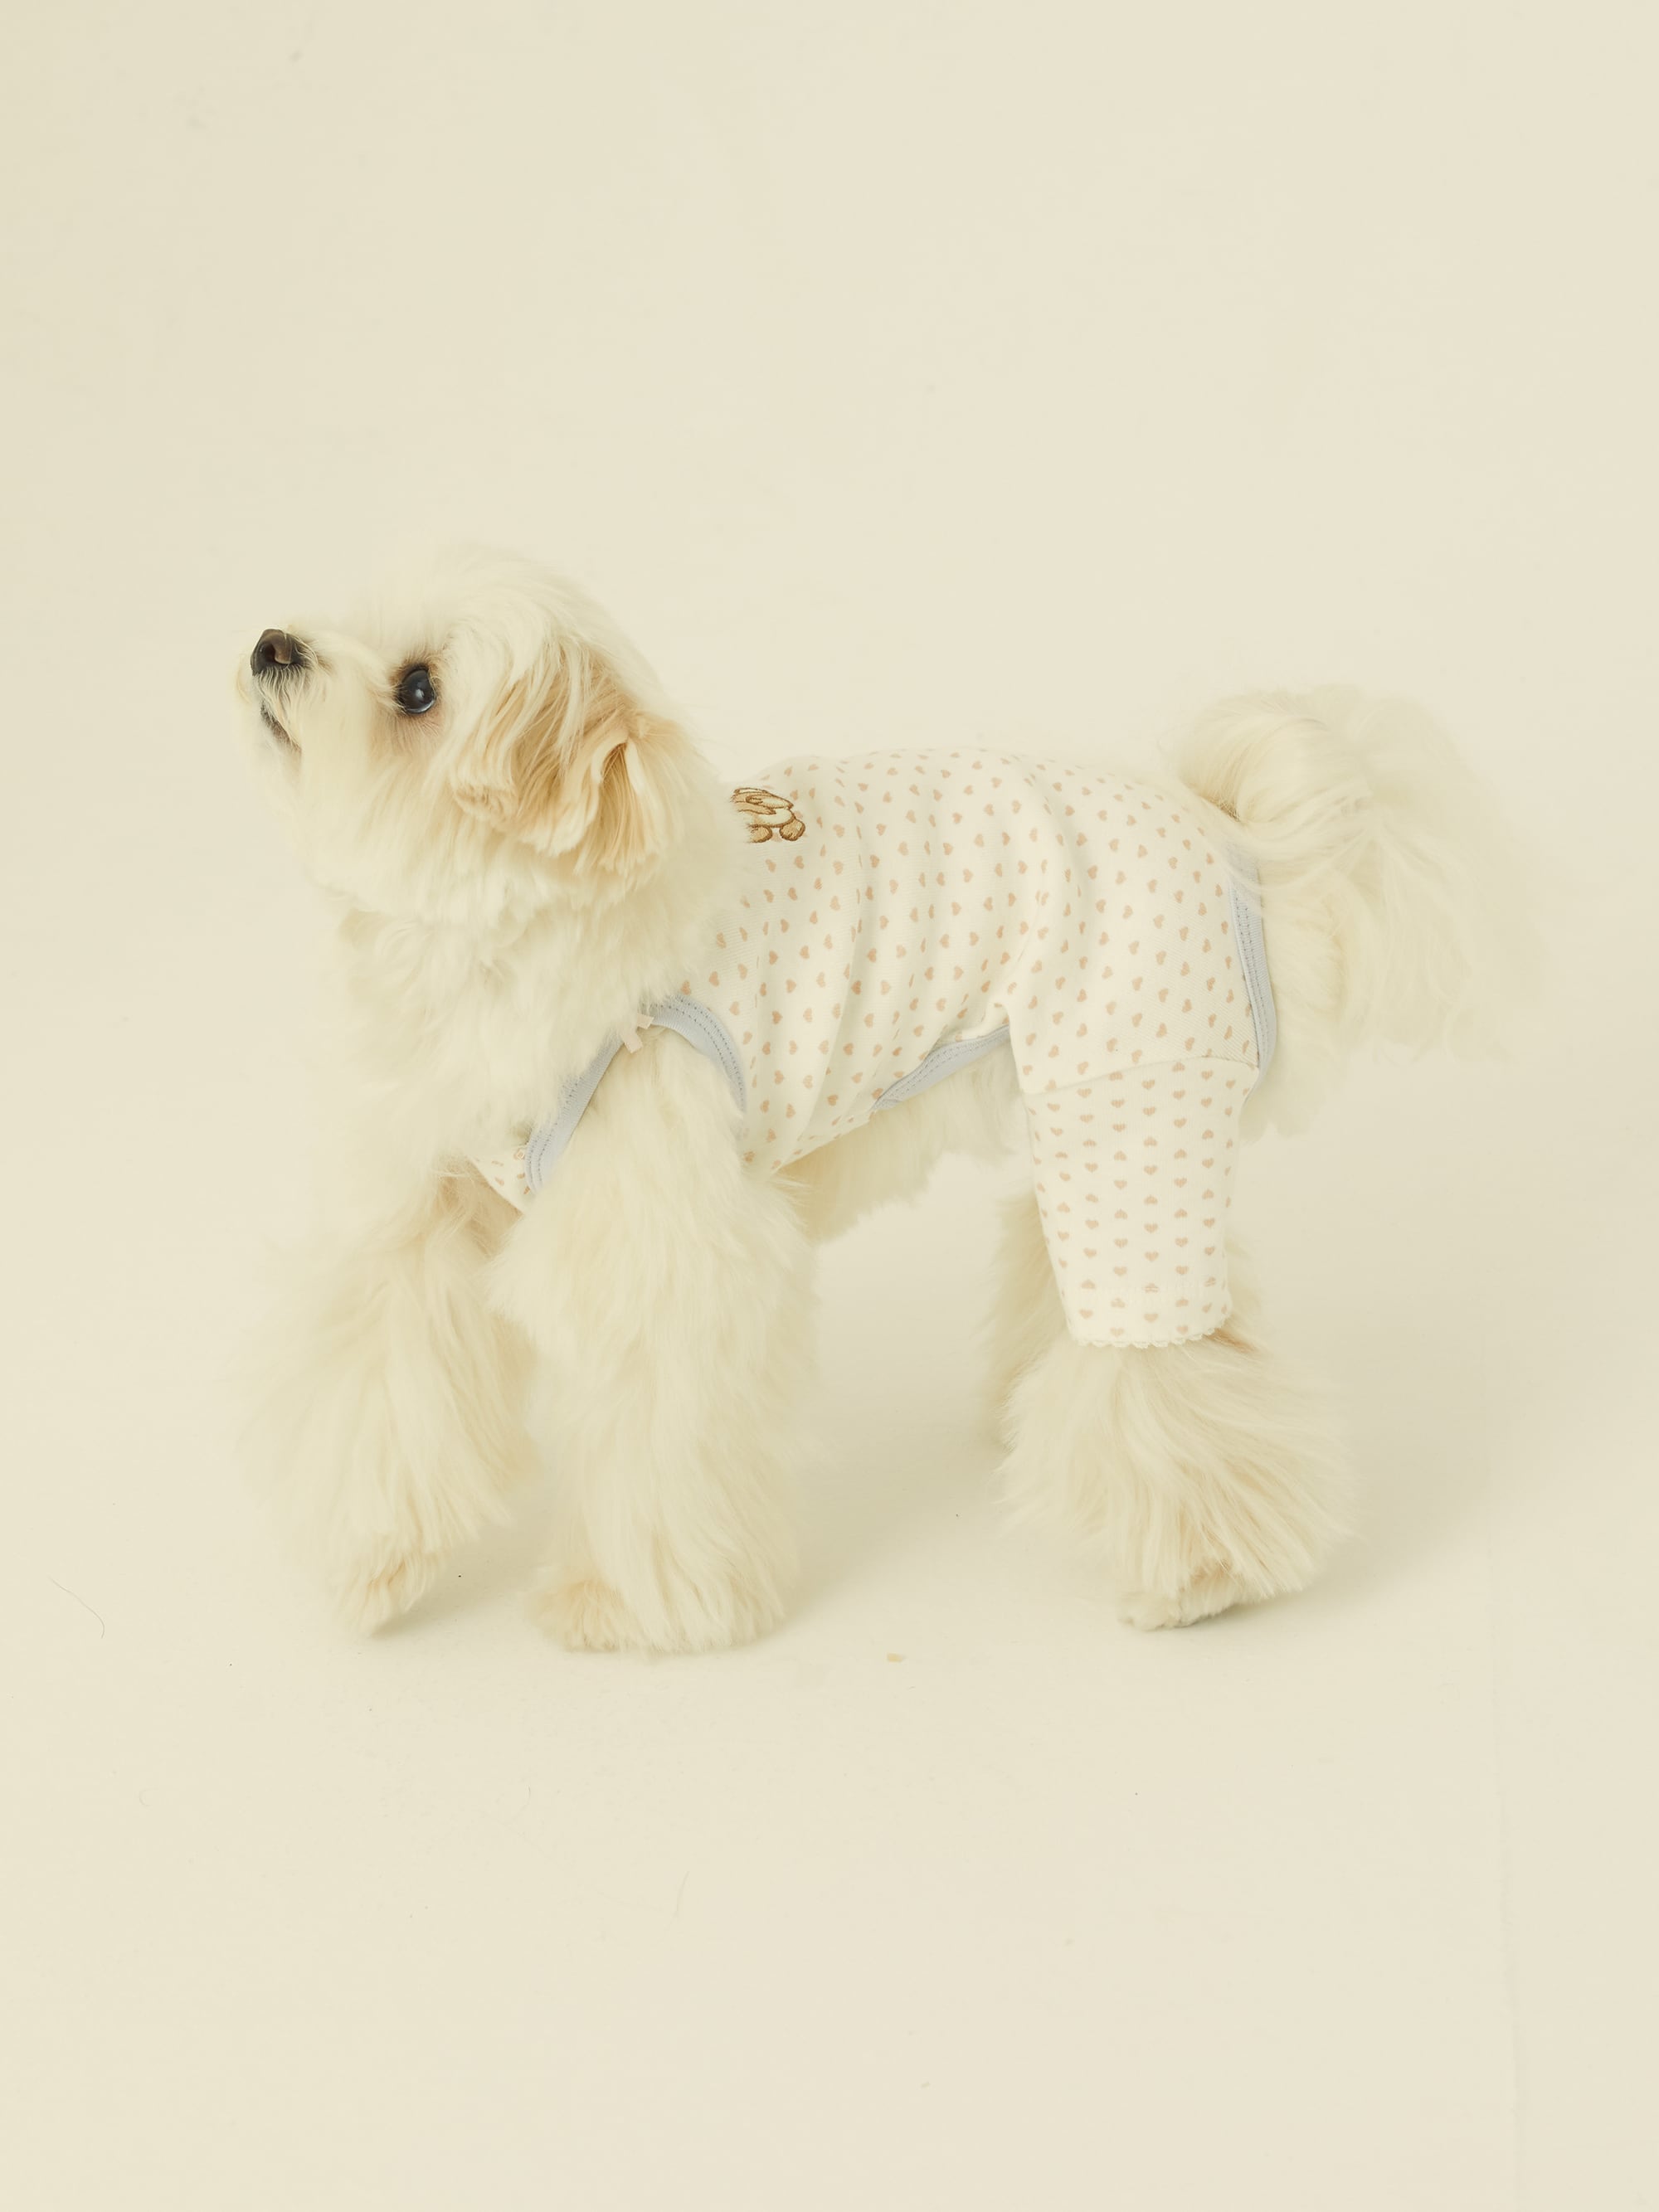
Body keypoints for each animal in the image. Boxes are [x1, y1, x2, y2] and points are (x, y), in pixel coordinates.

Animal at [237, 547, 1517, 1647]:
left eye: (418, 689)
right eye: (344, 625)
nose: (269, 642)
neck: (508, 939)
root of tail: (1231, 834)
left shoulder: (669, 1257)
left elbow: (658, 1429)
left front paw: (632, 1606)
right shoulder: (423, 1218)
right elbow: (387, 1387)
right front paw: (372, 1565)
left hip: (1129, 1103)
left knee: (1163, 1358)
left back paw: (1202, 1570)